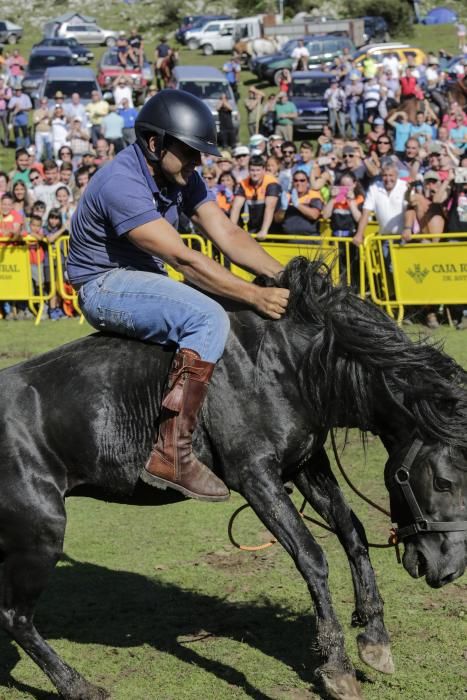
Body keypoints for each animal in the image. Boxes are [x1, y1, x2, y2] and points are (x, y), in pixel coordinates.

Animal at [0, 260, 467, 700]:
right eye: (444, 482)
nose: (449, 570)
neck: (292, 361)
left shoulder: (305, 463)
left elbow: (352, 532)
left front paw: (374, 636)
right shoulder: (257, 477)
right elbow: (312, 556)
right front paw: (336, 667)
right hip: (41, 532)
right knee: (15, 617)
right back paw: (76, 685)